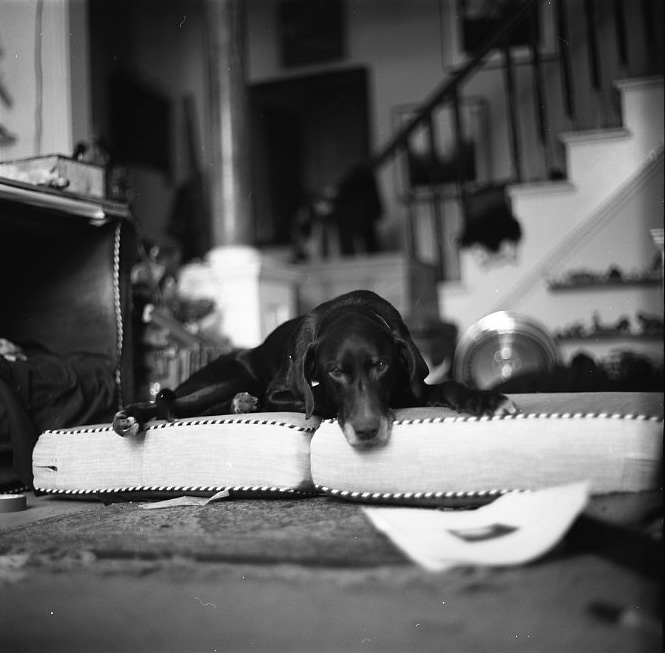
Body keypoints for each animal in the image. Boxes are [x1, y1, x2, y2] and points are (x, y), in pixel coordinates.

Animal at [113, 290, 517, 447]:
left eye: (381, 365)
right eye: (335, 371)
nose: (367, 432)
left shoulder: (411, 383)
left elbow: (447, 386)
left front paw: (484, 400)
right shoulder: (281, 391)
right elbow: (316, 399)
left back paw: (242, 403)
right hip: (232, 374)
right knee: (173, 402)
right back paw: (128, 417)